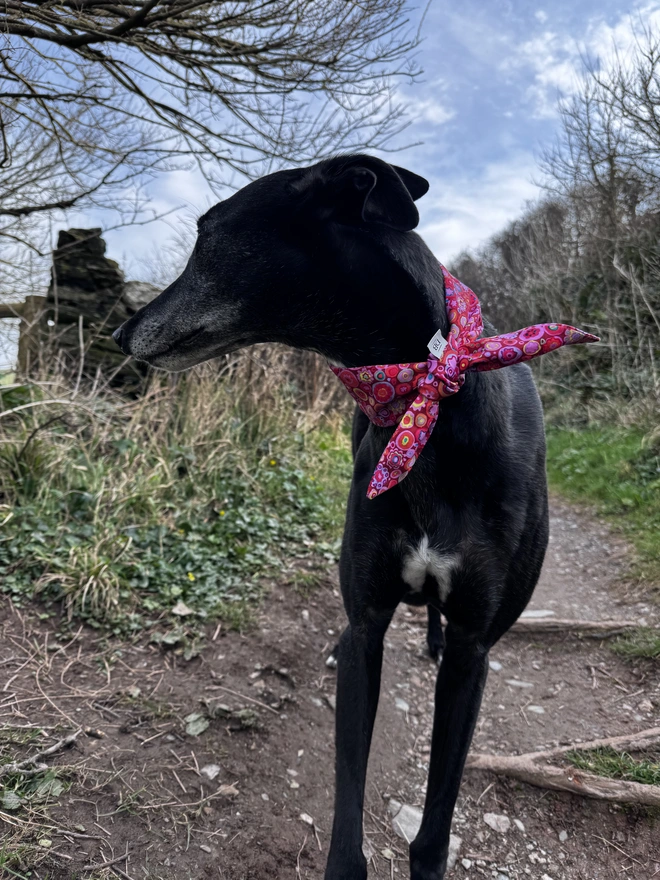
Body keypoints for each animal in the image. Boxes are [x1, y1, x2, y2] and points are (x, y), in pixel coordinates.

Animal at [113, 155, 548, 876]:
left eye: (207, 233)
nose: (121, 332)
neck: (432, 401)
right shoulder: (367, 626)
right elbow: (348, 793)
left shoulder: (474, 653)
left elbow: (436, 823)